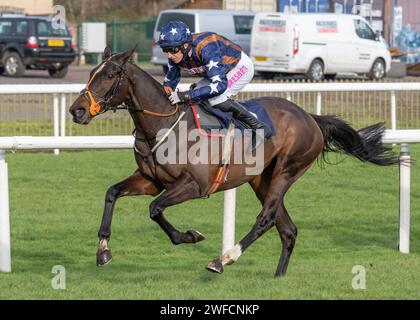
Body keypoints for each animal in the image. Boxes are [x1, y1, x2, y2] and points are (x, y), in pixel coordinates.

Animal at [68, 48, 398, 278]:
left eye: (110, 75)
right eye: (92, 73)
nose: (77, 110)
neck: (163, 126)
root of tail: (311, 118)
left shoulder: (194, 185)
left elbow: (155, 209)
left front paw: (190, 236)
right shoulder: (151, 181)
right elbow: (112, 193)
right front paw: (103, 251)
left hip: (287, 170)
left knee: (266, 218)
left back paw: (223, 259)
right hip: (261, 179)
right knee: (287, 228)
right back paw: (278, 277)